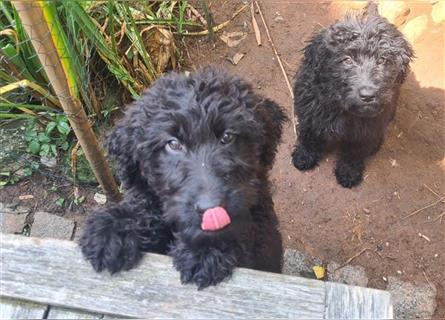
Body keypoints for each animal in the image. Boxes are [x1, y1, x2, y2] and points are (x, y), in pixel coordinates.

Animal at [79, 66, 286, 288]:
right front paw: (113, 227)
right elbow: (145, 206)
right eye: (173, 144)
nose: (210, 208)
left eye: (227, 137)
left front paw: (206, 249)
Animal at [292, 1, 412, 188]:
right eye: (347, 59)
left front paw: (348, 173)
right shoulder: (309, 112)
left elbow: (353, 153)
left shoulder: (365, 131)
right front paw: (303, 157)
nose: (368, 95)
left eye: (382, 60)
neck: (342, 107)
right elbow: (308, 136)